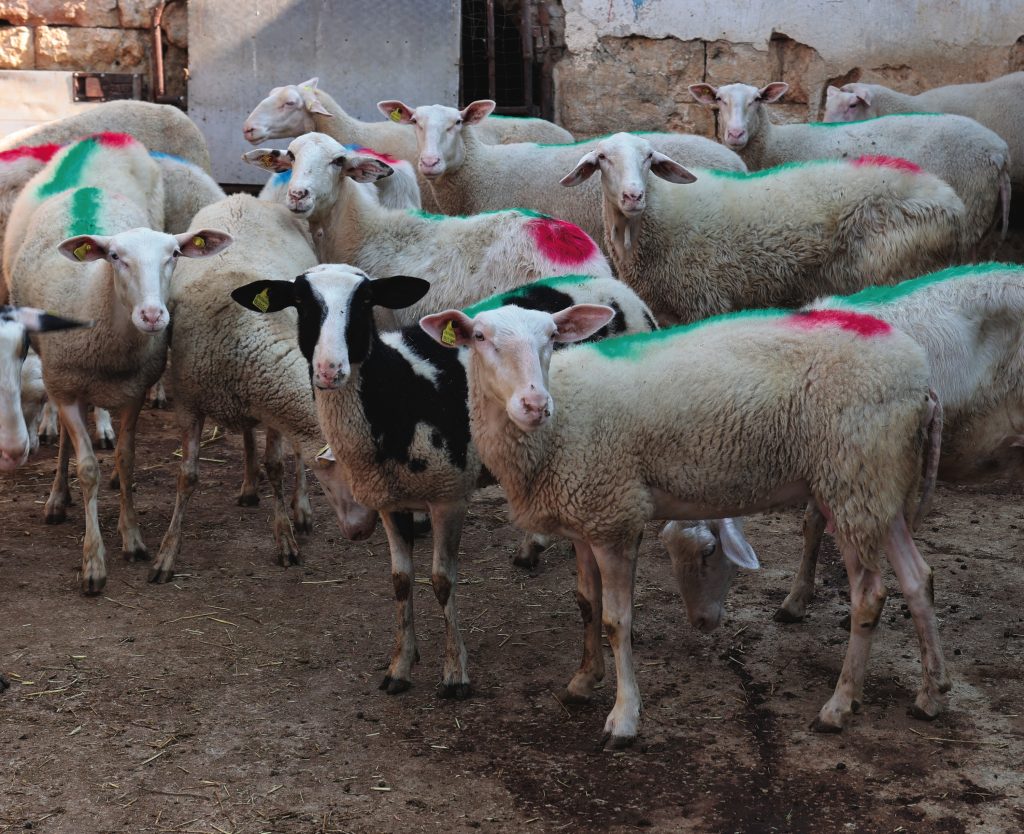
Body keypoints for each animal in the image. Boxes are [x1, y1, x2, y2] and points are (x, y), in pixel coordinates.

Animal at [150, 194, 379, 583]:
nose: (366, 531)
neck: (243, 338)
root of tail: (242, 197)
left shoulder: (274, 407)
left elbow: (277, 467)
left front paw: (285, 536)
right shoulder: (189, 404)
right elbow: (187, 478)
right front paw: (166, 553)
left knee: (292, 454)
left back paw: (300, 508)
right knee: (246, 434)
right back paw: (248, 486)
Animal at [232, 266, 655, 700]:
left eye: (365, 300)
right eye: (300, 302)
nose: (330, 370)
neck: (395, 392)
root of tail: (617, 287)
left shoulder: (449, 496)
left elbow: (442, 581)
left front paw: (455, 674)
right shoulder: (390, 501)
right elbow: (400, 581)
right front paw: (400, 666)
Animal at [421, 302, 946, 745]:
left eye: (552, 336)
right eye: (480, 337)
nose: (534, 404)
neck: (556, 426)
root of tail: (921, 377)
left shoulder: (614, 513)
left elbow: (616, 620)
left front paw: (624, 717)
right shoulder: (585, 515)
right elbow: (587, 604)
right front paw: (583, 681)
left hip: (852, 476)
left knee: (870, 595)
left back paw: (838, 706)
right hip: (878, 485)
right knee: (918, 579)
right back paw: (930, 695)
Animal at [560, 132, 963, 325]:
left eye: (648, 158)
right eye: (602, 159)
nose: (634, 195)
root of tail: (950, 198)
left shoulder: (705, 301)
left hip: (895, 264)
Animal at [689, 82, 1011, 257]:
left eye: (757, 100)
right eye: (719, 99)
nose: (735, 134)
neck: (774, 144)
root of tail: (998, 151)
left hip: (969, 207)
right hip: (983, 217)